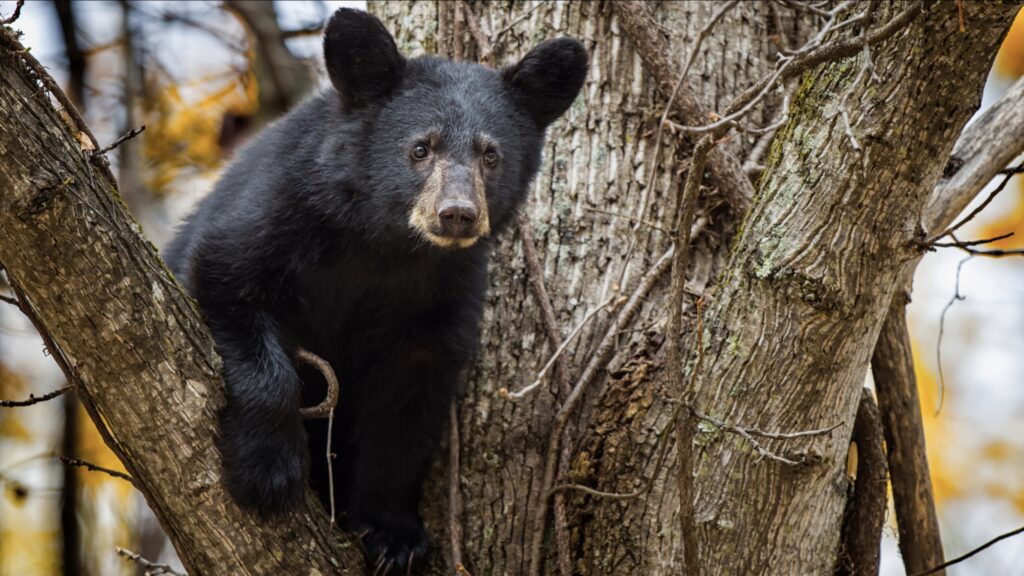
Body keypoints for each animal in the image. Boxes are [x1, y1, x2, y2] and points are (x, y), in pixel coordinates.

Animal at [163, 8, 586, 574]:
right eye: (420, 148)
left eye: (491, 155)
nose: (456, 214)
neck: (385, 246)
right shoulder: (279, 209)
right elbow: (227, 278)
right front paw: (267, 473)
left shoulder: (442, 293)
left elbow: (406, 408)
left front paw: (393, 534)